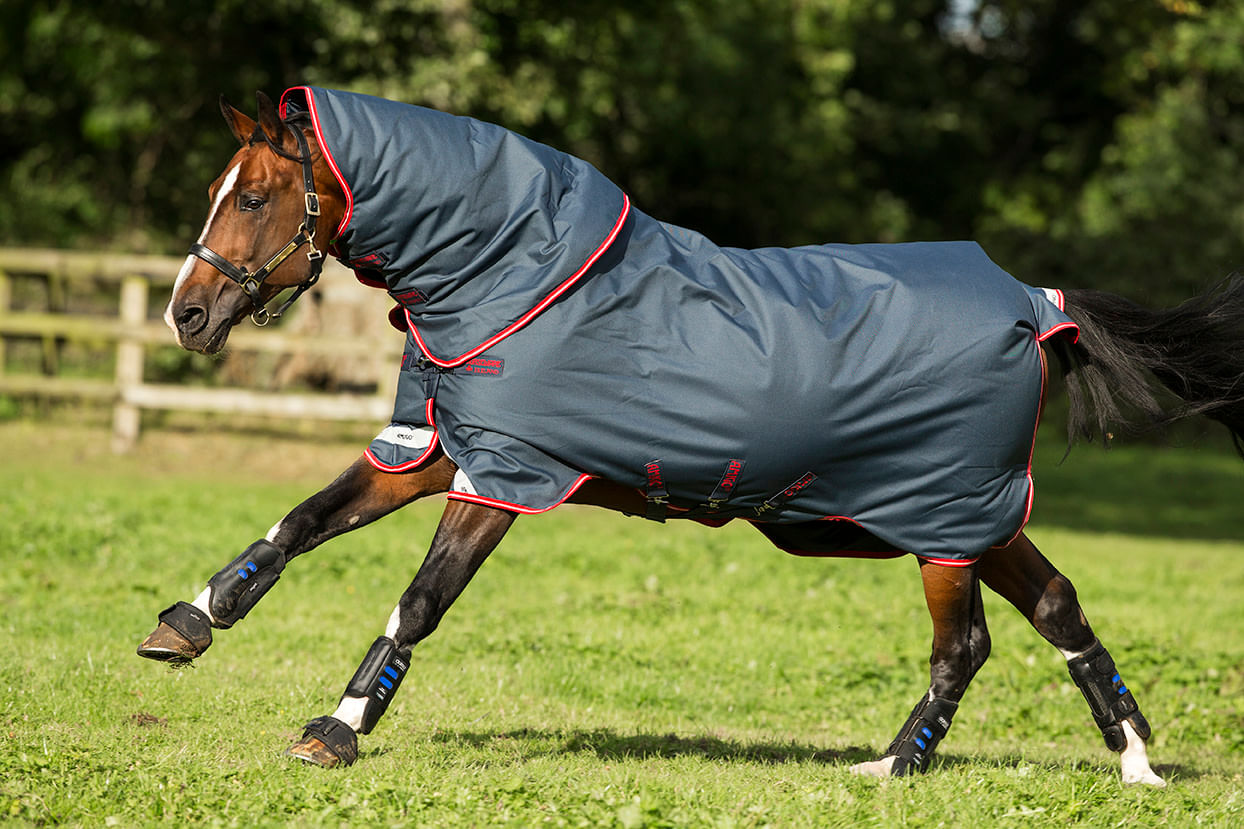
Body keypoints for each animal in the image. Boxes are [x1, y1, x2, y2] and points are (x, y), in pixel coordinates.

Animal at [139, 88, 1244, 784]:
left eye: (251, 196)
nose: (185, 315)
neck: (518, 276)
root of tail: (1035, 304)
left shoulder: (504, 479)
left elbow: (418, 602)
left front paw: (336, 727)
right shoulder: (442, 448)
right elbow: (301, 521)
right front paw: (188, 622)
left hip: (942, 518)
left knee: (963, 644)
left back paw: (891, 764)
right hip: (973, 515)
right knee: (1055, 606)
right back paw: (1134, 760)